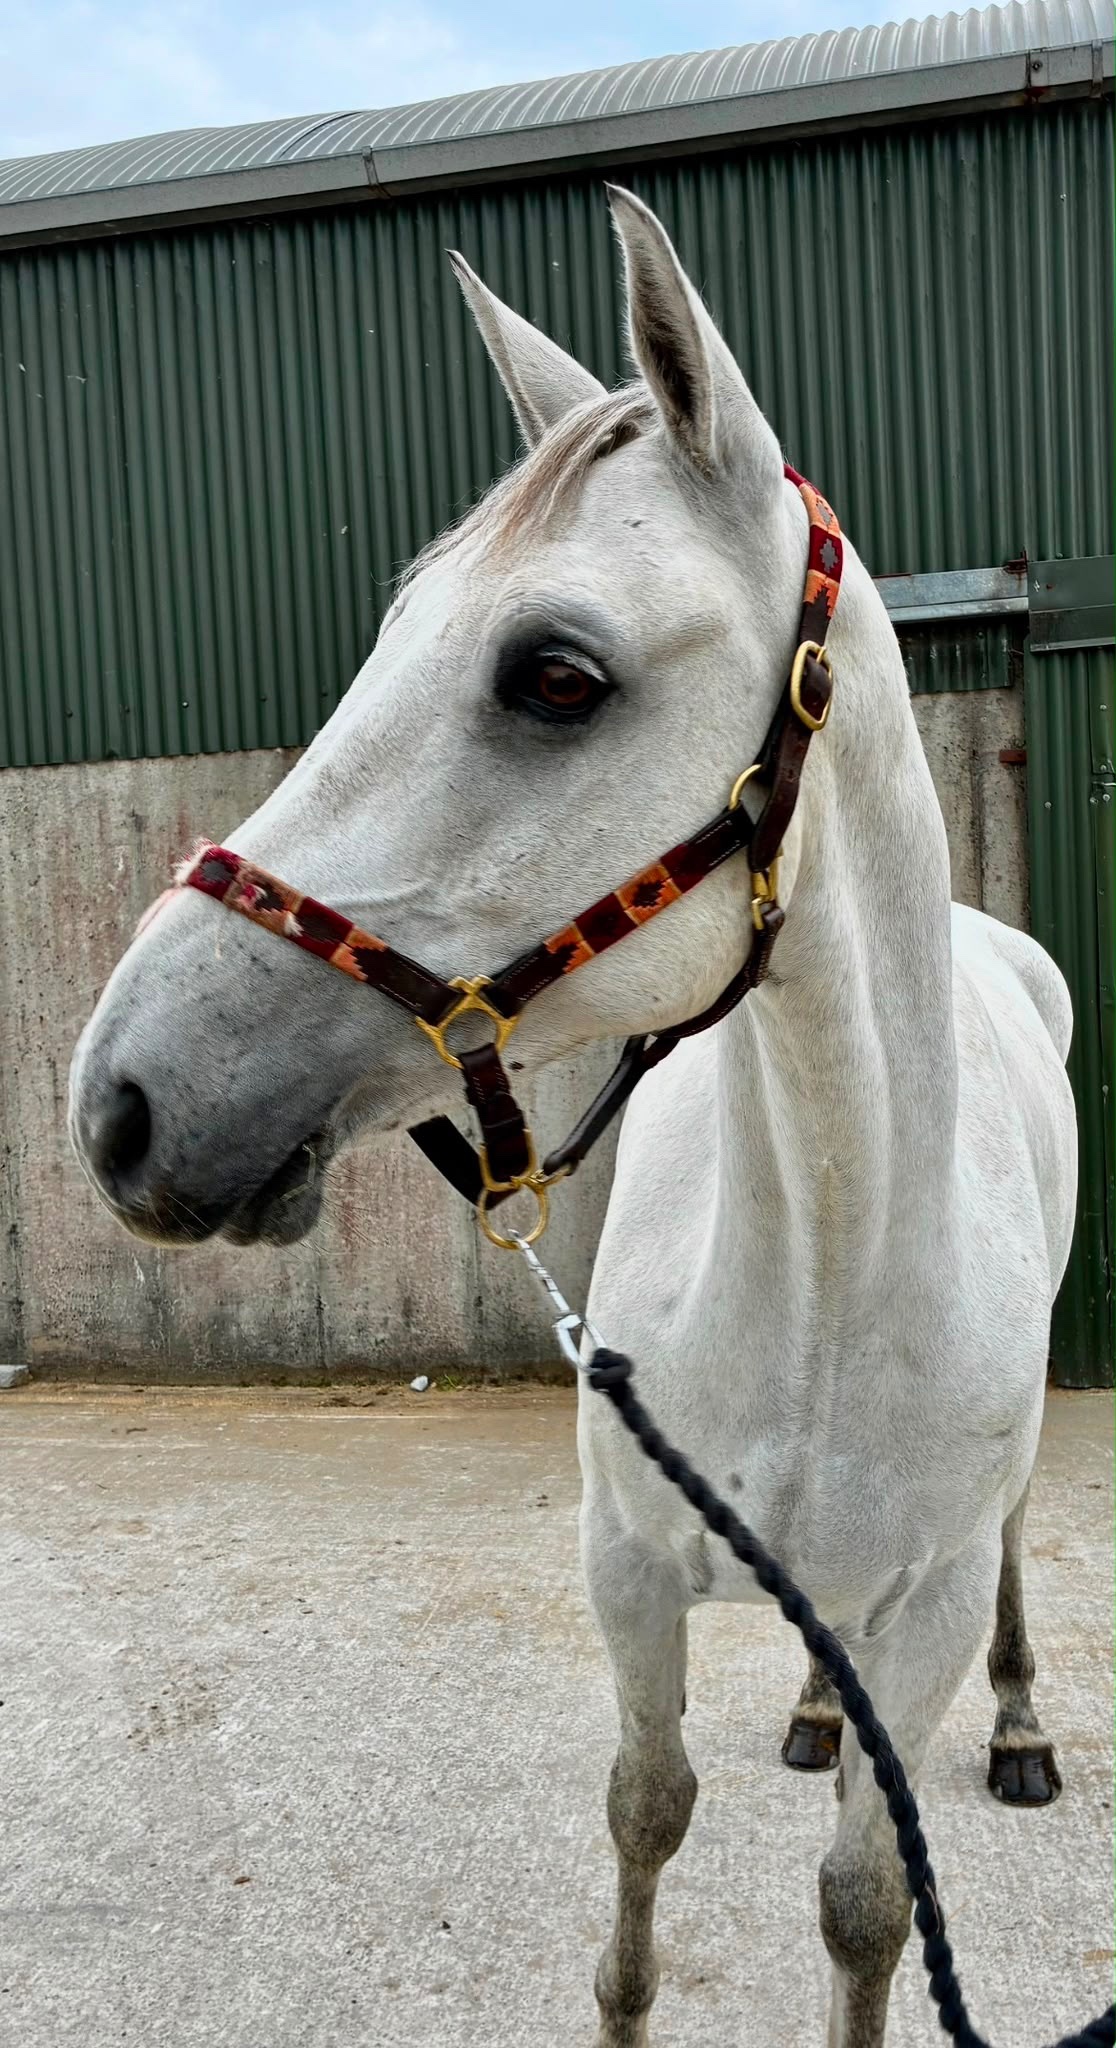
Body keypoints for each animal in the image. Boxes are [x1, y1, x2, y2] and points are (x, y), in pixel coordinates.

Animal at [69, 186, 1077, 2047]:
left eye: (554, 674)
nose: (122, 1101)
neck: (830, 1260)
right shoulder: (627, 1566)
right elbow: (644, 1815)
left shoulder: (924, 1607)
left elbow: (865, 1902)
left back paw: (1028, 1727)